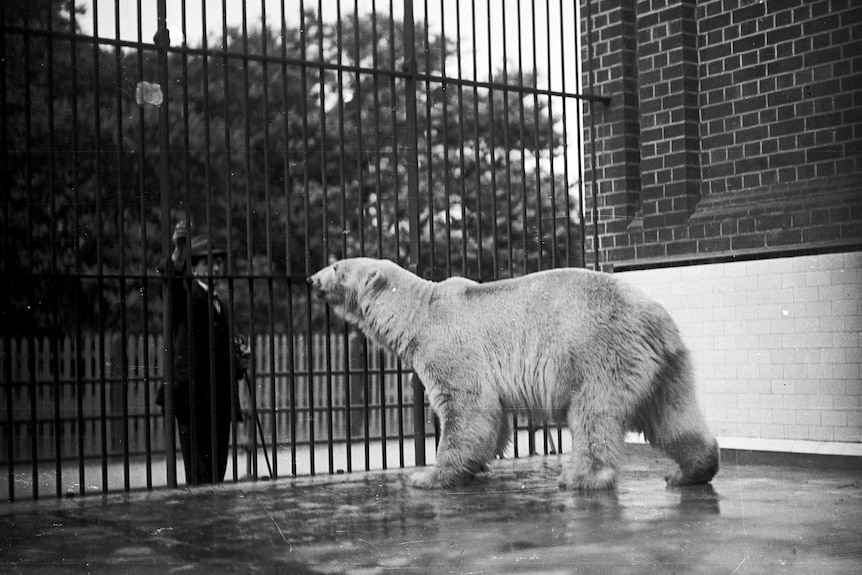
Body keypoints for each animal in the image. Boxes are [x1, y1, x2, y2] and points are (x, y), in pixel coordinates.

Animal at [308, 260, 720, 490]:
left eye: (337, 266)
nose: (311, 279)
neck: (419, 312)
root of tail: (656, 321)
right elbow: (494, 419)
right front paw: (473, 467)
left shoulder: (449, 347)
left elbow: (467, 409)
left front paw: (427, 477)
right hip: (668, 367)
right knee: (673, 416)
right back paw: (690, 471)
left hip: (599, 353)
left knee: (593, 415)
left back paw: (580, 477)